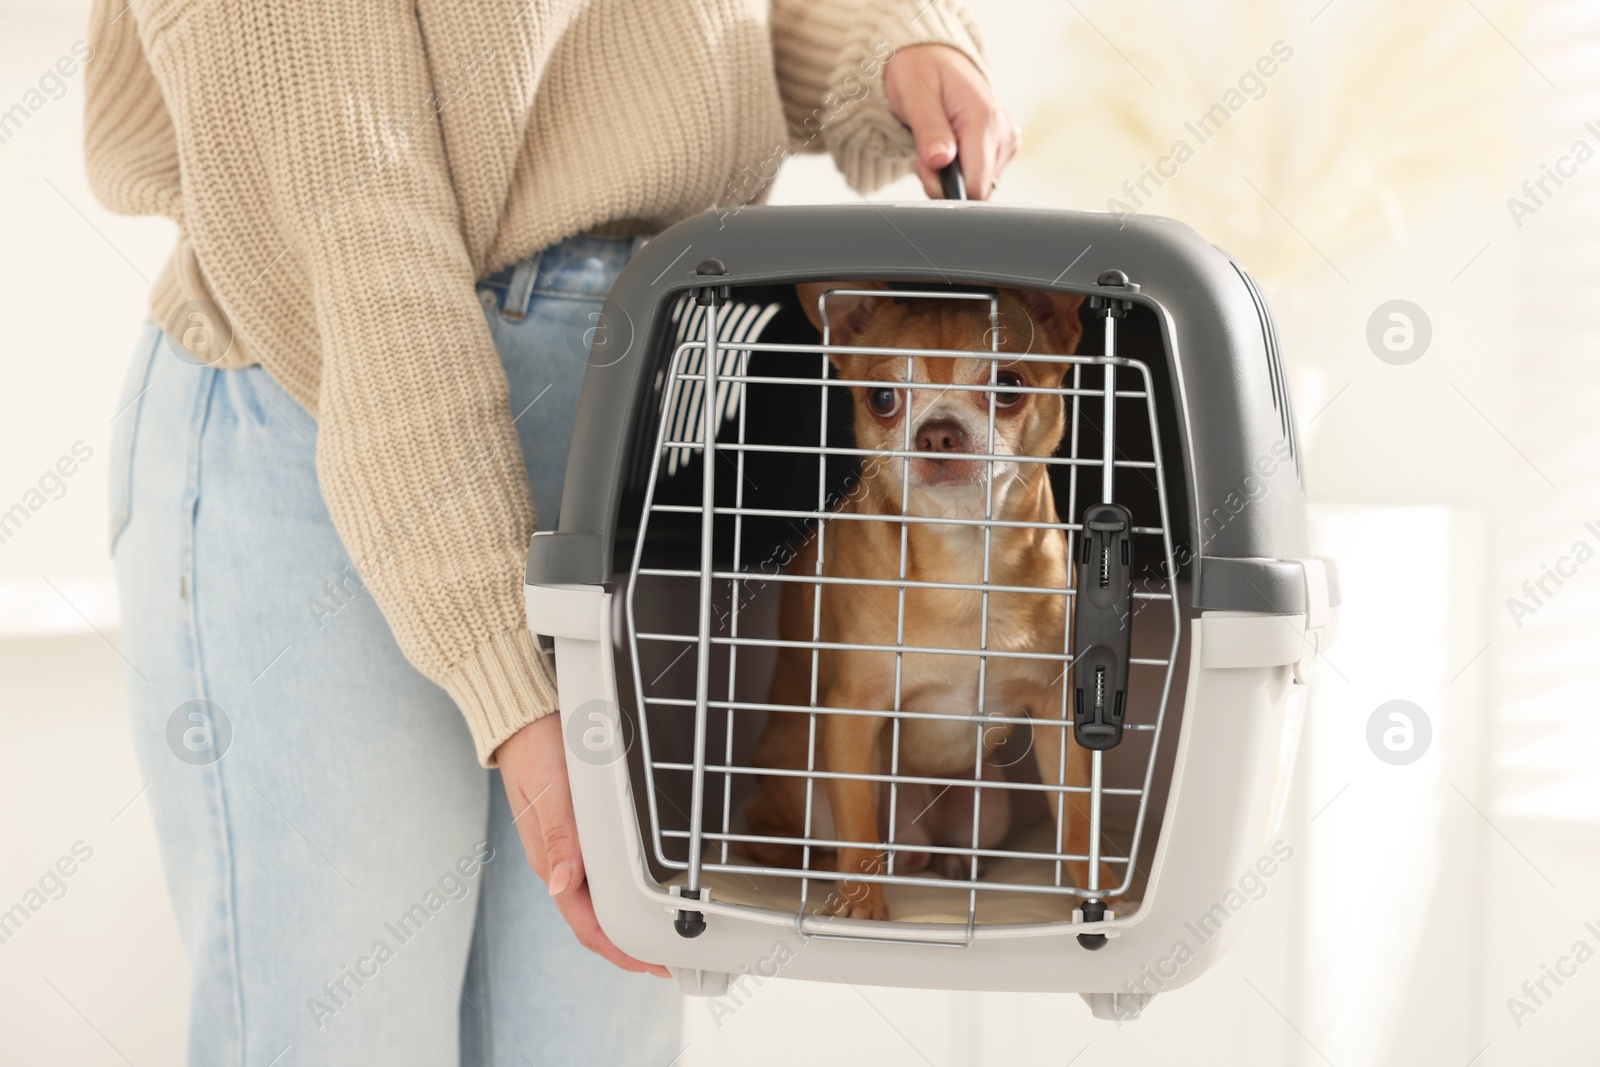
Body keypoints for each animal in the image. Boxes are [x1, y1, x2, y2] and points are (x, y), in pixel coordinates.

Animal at [742, 281, 1120, 921]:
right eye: (883, 398)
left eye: (1009, 386)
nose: (938, 431)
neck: (965, 556)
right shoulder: (852, 715)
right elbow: (858, 824)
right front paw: (862, 905)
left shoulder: (1055, 713)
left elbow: (1076, 816)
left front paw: (1098, 886)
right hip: (805, 790)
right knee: (794, 839)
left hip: (987, 810)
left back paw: (954, 865)